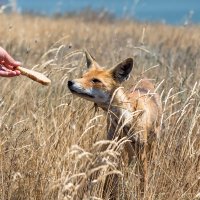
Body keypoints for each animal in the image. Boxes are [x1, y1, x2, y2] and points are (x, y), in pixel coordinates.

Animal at [68, 49, 162, 191]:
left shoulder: (141, 149)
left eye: (95, 80)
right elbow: (104, 172)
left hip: (151, 143)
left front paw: (144, 192)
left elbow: (143, 180)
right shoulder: (111, 143)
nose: (70, 82)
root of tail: (145, 81)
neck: (124, 119)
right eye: (83, 76)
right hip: (126, 147)